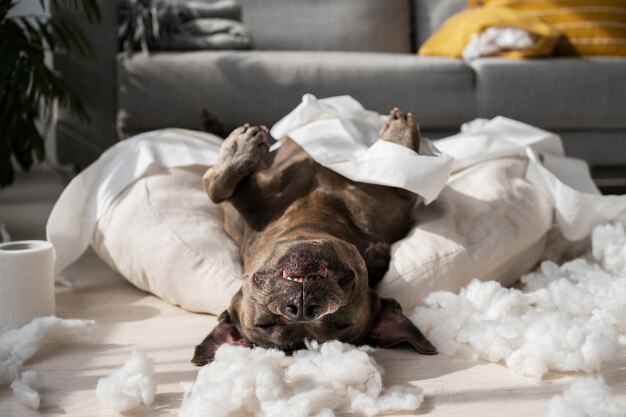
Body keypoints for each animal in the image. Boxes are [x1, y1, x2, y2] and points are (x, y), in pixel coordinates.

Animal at [193, 108, 436, 364]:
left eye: (340, 323)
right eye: (265, 324)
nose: (301, 308)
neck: (311, 212)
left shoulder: (396, 203)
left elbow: (404, 171)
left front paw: (399, 135)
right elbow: (213, 187)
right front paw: (238, 149)